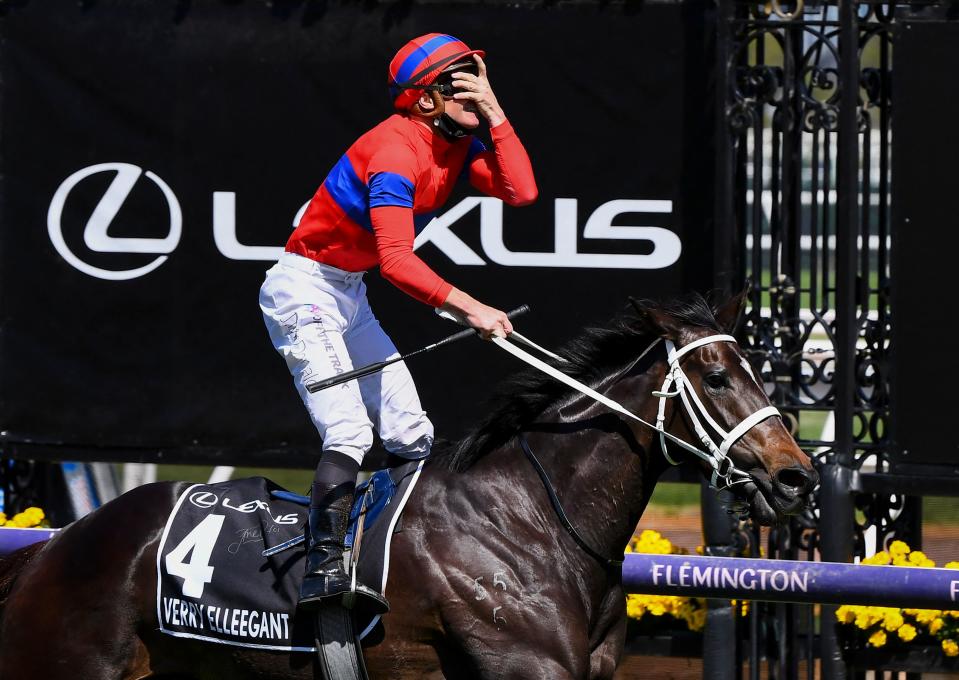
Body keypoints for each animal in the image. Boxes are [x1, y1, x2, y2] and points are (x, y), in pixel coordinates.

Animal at [0, 294, 816, 680]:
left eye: (755, 369)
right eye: (715, 377)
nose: (795, 476)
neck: (533, 518)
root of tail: (52, 550)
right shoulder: (525, 665)